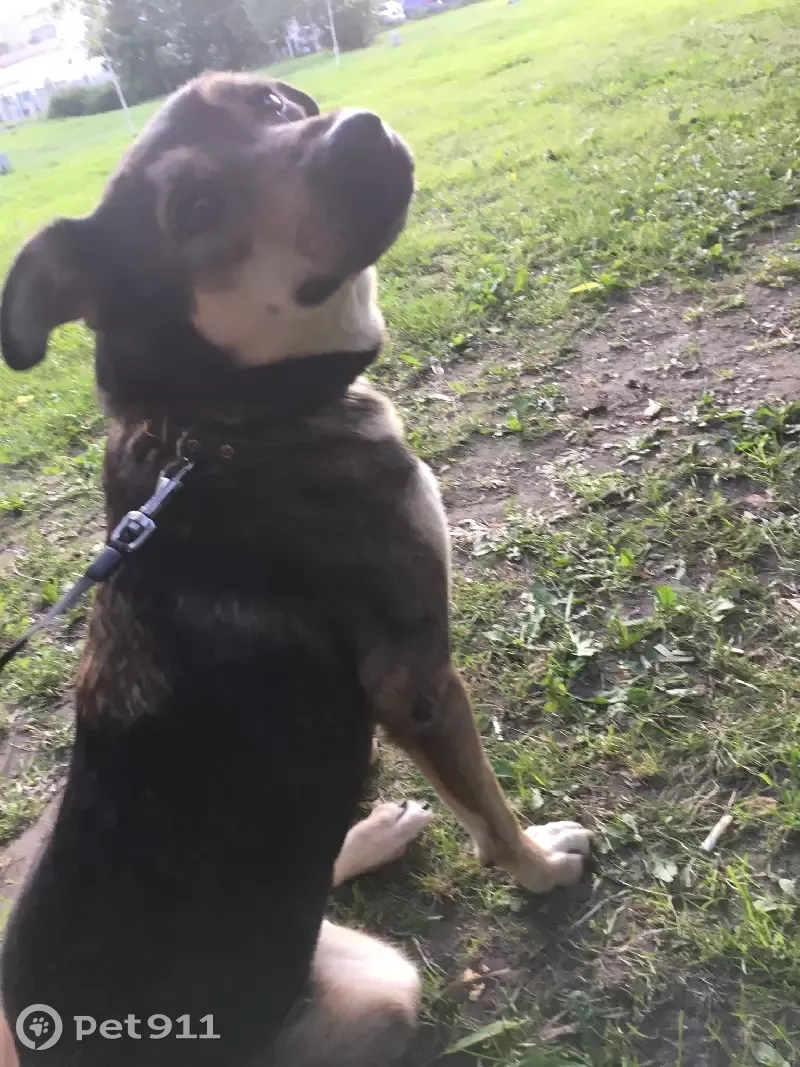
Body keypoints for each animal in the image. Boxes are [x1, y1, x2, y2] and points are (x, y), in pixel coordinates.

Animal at [0, 73, 591, 1066]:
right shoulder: (417, 680)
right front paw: (540, 867)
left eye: (274, 104)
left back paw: (368, 830)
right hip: (377, 990)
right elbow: (488, 809)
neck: (220, 424)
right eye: (196, 209)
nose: (359, 130)